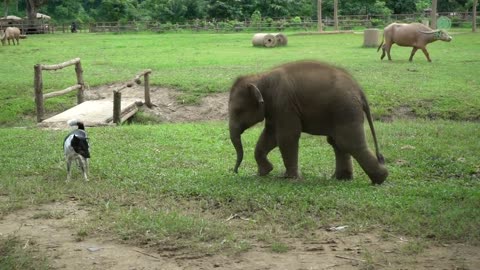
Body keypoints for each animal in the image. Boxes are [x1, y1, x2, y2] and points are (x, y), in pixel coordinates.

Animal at [227, 60, 388, 185]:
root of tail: (360, 90)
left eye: (238, 111)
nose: (235, 171)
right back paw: (341, 178)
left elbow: (286, 136)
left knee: (348, 142)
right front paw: (264, 172)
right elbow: (269, 136)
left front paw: (288, 178)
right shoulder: (274, 109)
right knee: (337, 142)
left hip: (346, 110)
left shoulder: (284, 104)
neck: (261, 77)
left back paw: (380, 179)